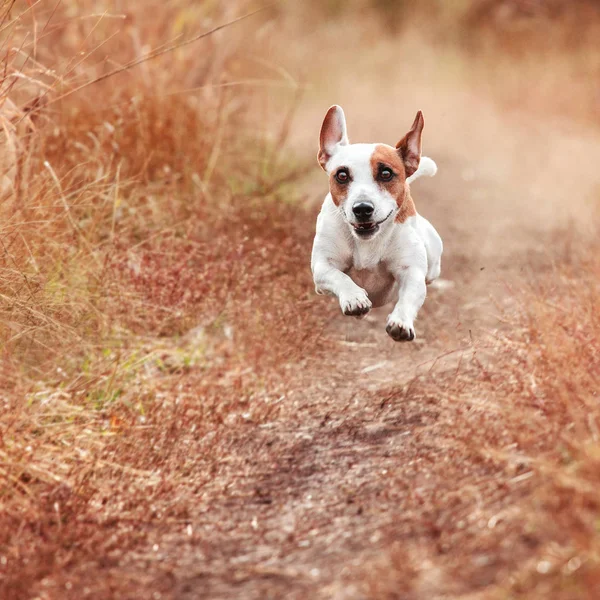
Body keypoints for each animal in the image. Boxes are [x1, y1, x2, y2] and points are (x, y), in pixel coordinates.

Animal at [312, 105, 442, 340]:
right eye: (342, 175)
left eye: (386, 173)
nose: (362, 208)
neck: (367, 243)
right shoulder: (322, 266)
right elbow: (338, 276)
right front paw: (354, 298)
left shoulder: (411, 272)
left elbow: (409, 296)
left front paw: (401, 322)